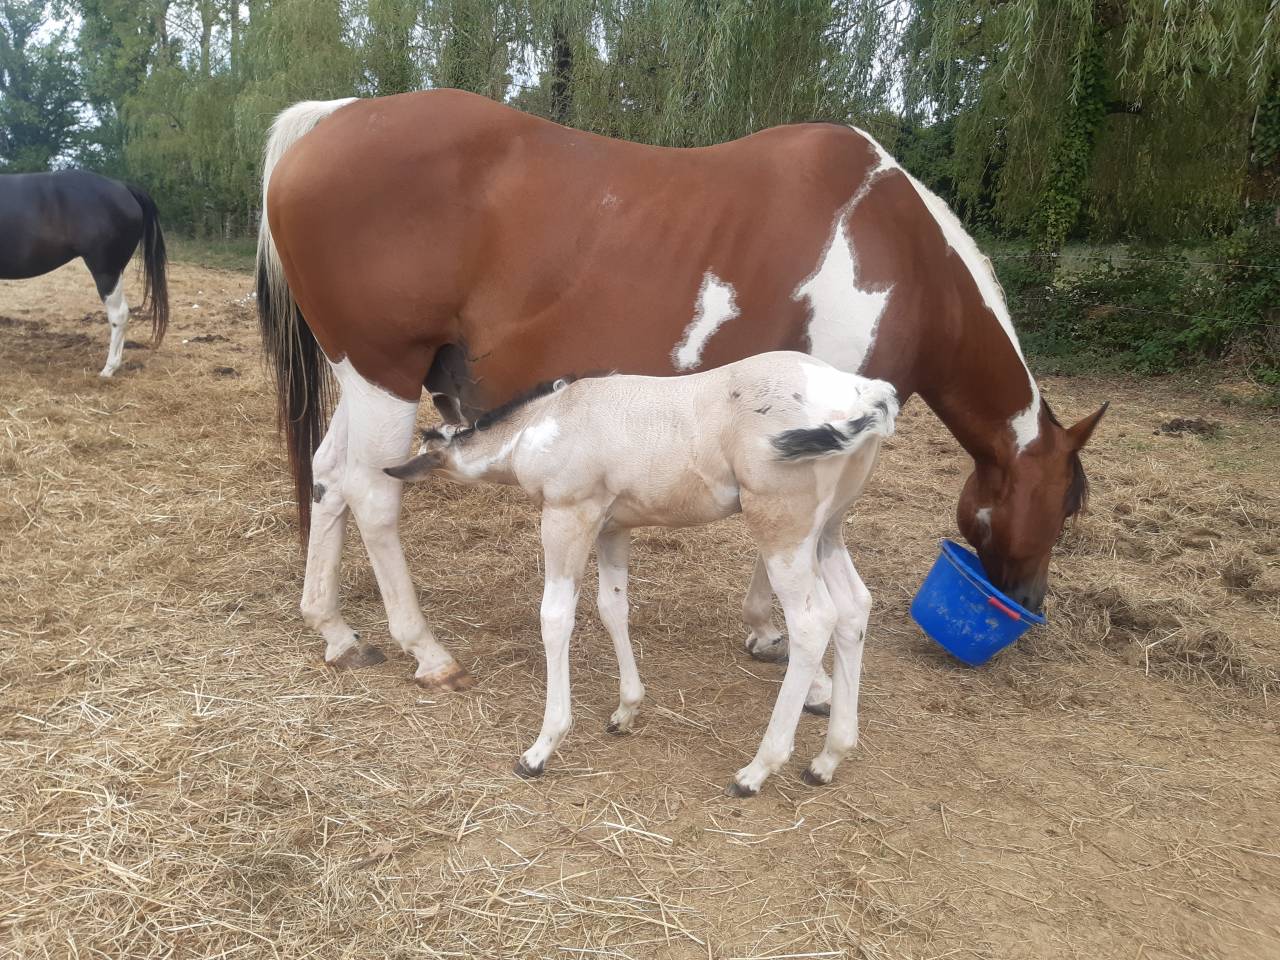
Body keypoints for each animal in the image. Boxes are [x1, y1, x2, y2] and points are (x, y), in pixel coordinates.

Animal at [256, 89, 1107, 698]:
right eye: (1063, 510)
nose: (1027, 600)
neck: (910, 263)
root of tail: (330, 121)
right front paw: (788, 648)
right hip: (383, 376)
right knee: (371, 493)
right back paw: (426, 650)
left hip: (368, 381)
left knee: (329, 478)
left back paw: (333, 629)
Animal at [386, 353, 899, 795]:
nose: (400, 475)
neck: (547, 422)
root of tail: (862, 392)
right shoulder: (613, 527)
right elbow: (612, 607)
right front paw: (626, 710)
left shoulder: (567, 517)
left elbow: (555, 618)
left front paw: (542, 747)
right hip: (827, 530)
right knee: (854, 607)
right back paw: (829, 758)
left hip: (783, 531)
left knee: (813, 623)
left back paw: (757, 770)